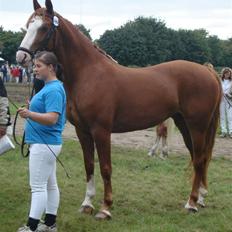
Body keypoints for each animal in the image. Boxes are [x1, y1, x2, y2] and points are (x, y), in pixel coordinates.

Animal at [15, 0, 221, 219]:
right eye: (28, 25)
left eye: (44, 28)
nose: (21, 56)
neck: (89, 74)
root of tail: (207, 70)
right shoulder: (83, 131)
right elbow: (89, 165)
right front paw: (87, 203)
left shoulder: (101, 131)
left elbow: (105, 167)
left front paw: (105, 207)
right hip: (184, 124)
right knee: (198, 158)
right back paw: (200, 198)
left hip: (197, 126)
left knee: (199, 160)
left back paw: (191, 203)